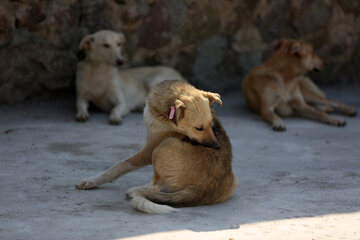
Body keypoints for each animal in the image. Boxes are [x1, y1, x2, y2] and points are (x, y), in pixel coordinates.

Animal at [76, 80, 238, 214]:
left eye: (211, 124)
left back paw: (137, 190)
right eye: (199, 128)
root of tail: (203, 189)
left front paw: (92, 181)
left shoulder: (149, 150)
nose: (217, 146)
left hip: (162, 146)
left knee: (157, 184)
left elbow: (118, 166)